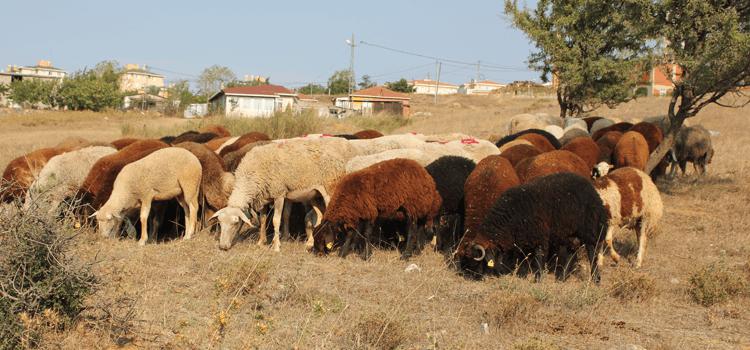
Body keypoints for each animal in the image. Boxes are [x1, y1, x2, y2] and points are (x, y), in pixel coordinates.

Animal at [212, 137, 356, 252]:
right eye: (220, 223)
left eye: (235, 223)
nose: (223, 247)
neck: (251, 176)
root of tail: (338, 159)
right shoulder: (265, 197)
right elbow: (265, 219)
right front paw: (262, 242)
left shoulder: (279, 194)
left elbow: (276, 220)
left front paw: (276, 246)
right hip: (315, 195)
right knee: (320, 216)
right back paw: (311, 242)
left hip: (330, 189)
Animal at [312, 159, 444, 260]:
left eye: (321, 237)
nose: (317, 253)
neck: (346, 197)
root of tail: (427, 177)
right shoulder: (358, 213)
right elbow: (352, 233)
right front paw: (344, 253)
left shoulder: (369, 212)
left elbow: (366, 234)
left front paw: (366, 256)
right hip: (420, 206)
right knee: (421, 226)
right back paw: (417, 251)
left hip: (413, 205)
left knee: (412, 230)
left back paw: (406, 255)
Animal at [458, 172, 612, 282]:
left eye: (478, 261)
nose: (475, 278)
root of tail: (594, 192)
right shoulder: (523, 240)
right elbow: (523, 259)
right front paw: (522, 276)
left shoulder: (539, 236)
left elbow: (538, 258)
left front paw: (538, 279)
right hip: (570, 233)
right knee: (571, 251)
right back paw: (561, 278)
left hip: (588, 229)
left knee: (592, 251)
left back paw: (596, 279)